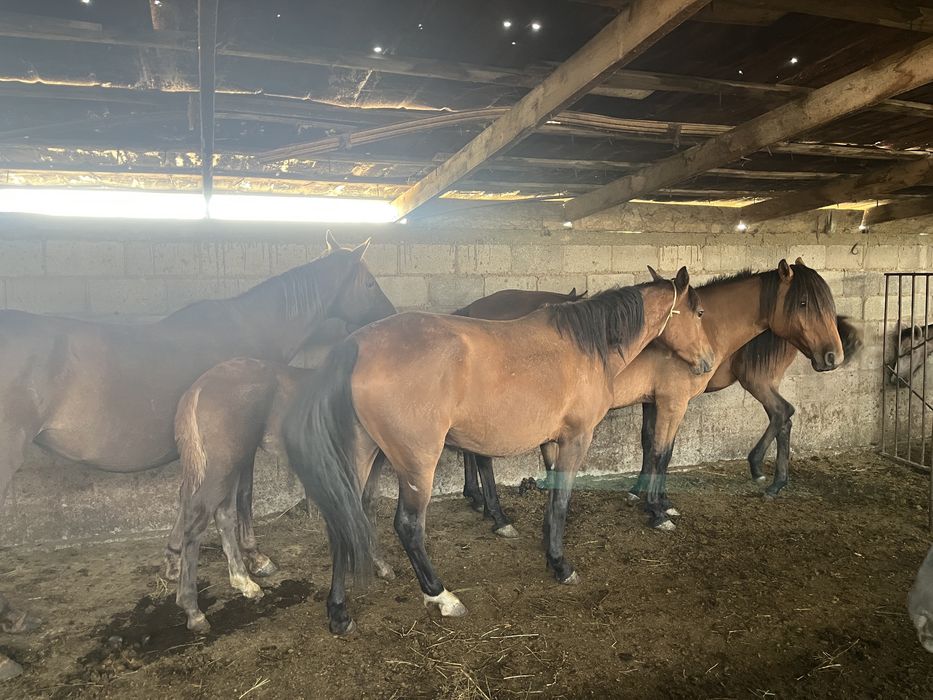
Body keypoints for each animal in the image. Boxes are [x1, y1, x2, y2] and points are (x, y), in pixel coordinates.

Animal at [0, 232, 393, 680]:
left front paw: (175, 563)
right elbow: (238, 502)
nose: (390, 316)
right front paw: (254, 560)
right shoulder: (237, 453)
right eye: (368, 283)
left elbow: (189, 503)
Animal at [164, 287, 582, 632]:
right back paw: (194, 608)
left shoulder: (375, 460)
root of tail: (197, 388)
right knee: (199, 517)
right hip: (225, 463)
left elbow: (362, 508)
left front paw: (378, 567)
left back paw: (243, 580)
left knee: (220, 513)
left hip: (231, 463)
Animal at [283, 268, 715, 634]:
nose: (707, 362)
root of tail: (354, 346)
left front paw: (548, 549)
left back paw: (339, 612)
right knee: (408, 525)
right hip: (417, 463)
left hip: (361, 457)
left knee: (344, 522)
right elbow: (562, 500)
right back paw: (441, 595)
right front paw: (562, 565)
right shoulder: (576, 439)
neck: (586, 345)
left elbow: (554, 498)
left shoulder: (554, 442)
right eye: (699, 311)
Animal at [460, 312, 862, 536]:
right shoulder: (672, 399)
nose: (831, 355)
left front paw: (650, 497)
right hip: (757, 380)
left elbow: (651, 444)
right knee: (783, 413)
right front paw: (655, 507)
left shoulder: (655, 400)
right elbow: (661, 450)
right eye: (807, 303)